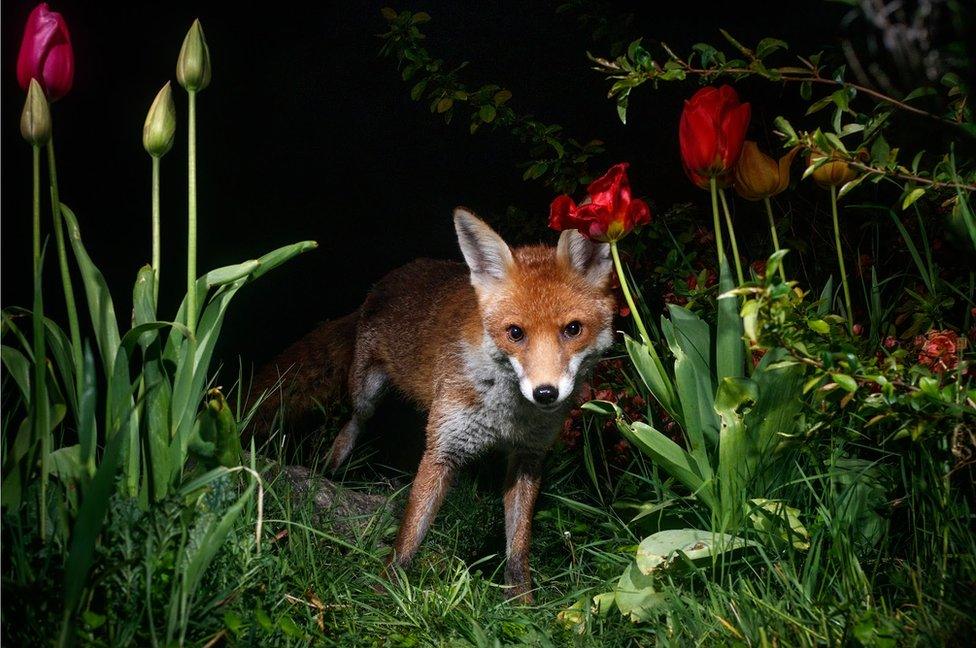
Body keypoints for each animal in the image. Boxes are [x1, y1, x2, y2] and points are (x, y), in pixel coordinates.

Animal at [254, 209, 616, 604]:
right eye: (515, 333)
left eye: (573, 329)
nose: (546, 393)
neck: (507, 416)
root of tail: (384, 283)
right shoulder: (442, 448)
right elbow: (410, 533)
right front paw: (386, 588)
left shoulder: (529, 455)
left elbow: (518, 546)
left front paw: (522, 602)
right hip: (367, 390)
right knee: (353, 423)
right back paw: (331, 469)